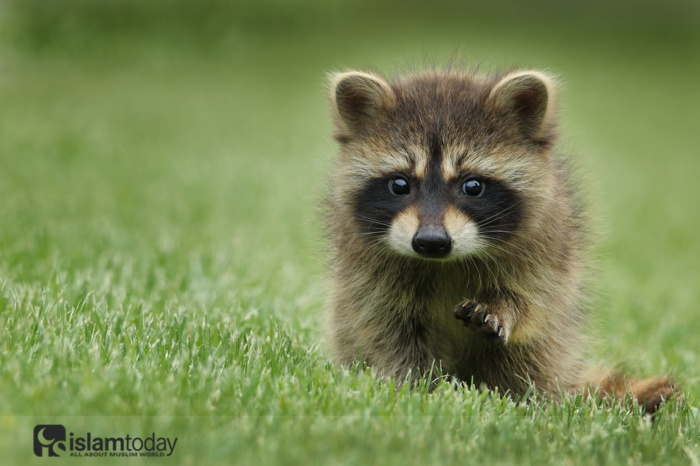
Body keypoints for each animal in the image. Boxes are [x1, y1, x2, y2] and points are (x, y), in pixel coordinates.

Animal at [326, 67, 680, 414]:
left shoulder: (547, 246)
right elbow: (389, 332)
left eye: (472, 186)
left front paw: (503, 306)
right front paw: (419, 389)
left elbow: (533, 300)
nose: (431, 241)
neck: (445, 263)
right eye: (400, 184)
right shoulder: (368, 275)